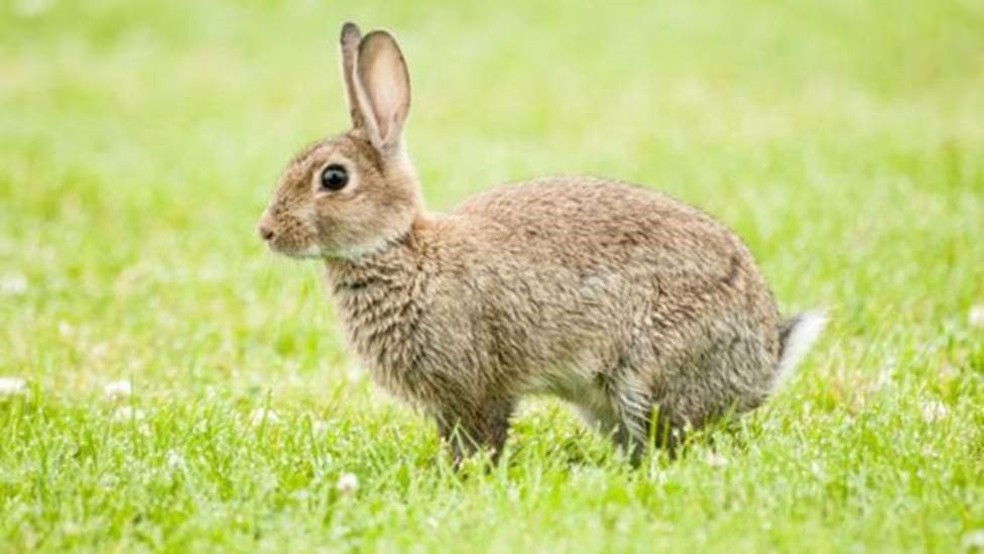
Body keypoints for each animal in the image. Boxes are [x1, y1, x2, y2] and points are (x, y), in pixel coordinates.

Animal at [258, 20, 828, 462]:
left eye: (334, 179)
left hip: (647, 375)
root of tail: (764, 363)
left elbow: (484, 435)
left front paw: (470, 478)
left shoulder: (478, 385)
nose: (266, 231)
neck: (403, 251)